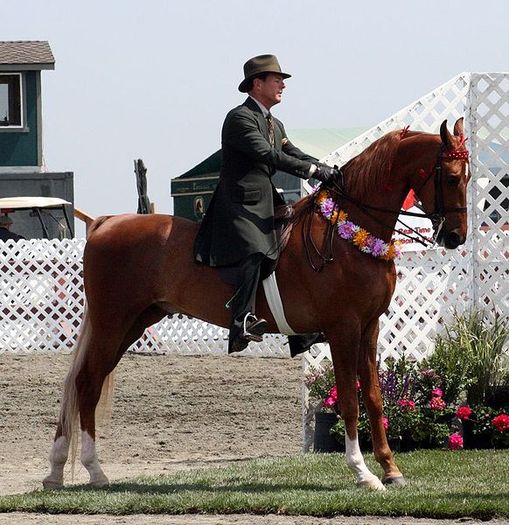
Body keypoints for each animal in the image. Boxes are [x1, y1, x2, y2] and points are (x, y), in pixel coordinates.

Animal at [42, 116, 468, 490]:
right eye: (450, 177)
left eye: (466, 176)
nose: (456, 237)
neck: (350, 232)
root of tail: (105, 223)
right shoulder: (343, 329)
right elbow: (349, 401)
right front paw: (363, 473)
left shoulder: (369, 327)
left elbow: (375, 399)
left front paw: (391, 470)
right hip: (112, 322)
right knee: (85, 383)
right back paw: (91, 470)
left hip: (133, 324)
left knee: (87, 384)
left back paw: (59, 472)